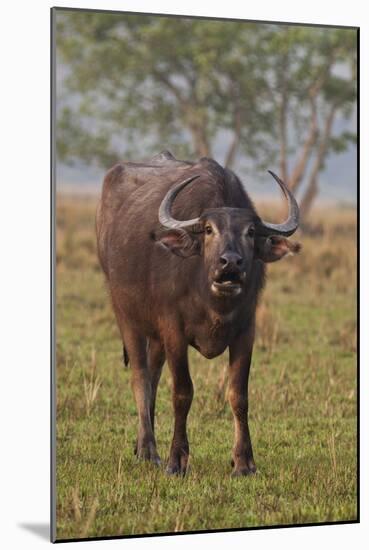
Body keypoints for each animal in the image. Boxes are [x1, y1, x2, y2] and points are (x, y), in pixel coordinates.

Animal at [95, 151, 300, 478]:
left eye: (250, 232)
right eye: (208, 229)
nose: (230, 263)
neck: (213, 301)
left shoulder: (246, 332)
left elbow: (239, 395)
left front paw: (244, 462)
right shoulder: (174, 330)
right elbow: (182, 392)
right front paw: (176, 460)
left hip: (156, 335)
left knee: (153, 376)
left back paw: (141, 446)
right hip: (126, 315)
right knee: (140, 377)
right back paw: (150, 450)